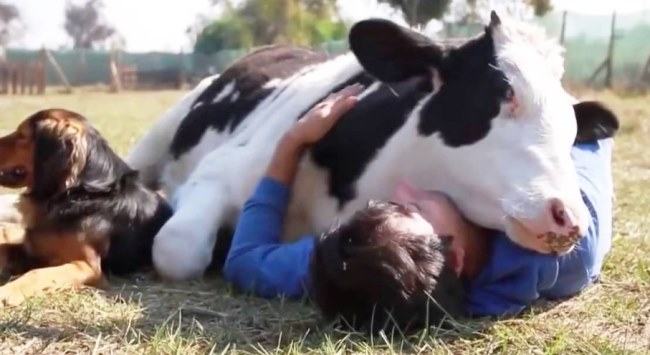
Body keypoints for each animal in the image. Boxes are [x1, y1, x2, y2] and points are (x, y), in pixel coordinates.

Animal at [0, 109, 171, 306]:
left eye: (22, 135)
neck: (78, 193)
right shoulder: (34, 248)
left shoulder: (88, 267)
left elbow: (37, 273)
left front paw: (8, 291)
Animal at [128, 13, 616, 280]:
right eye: (505, 91)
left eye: (573, 127)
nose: (570, 218)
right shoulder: (222, 169)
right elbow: (178, 247)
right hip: (160, 130)